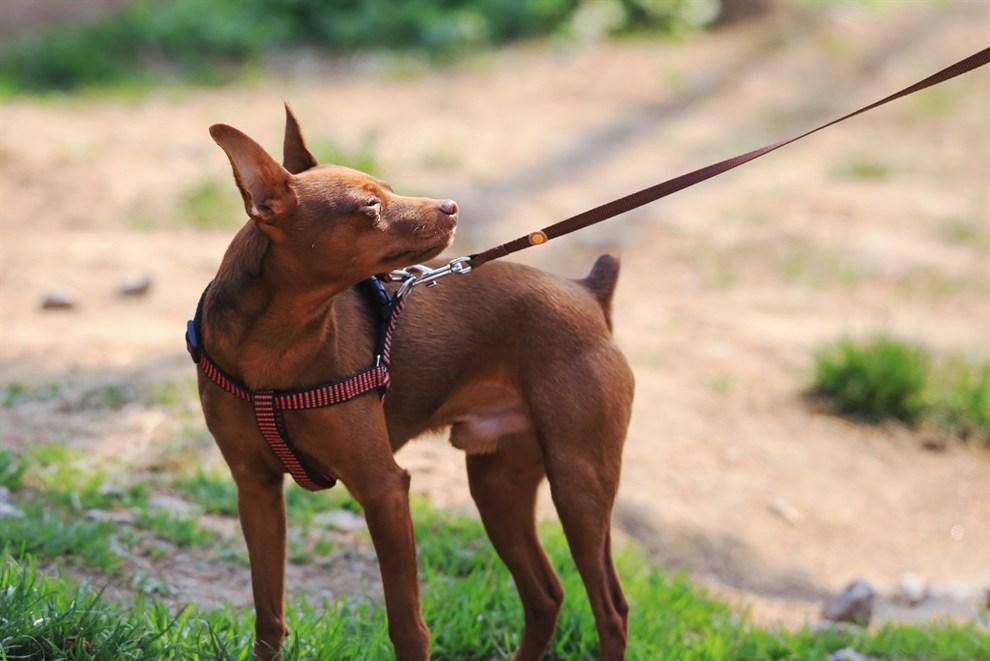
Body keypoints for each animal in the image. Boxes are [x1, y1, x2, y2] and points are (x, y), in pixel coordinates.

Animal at [198, 105, 636, 656]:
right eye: (369, 205)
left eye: (388, 188)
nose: (451, 205)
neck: (272, 349)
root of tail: (588, 292)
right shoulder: (255, 487)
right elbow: (267, 612)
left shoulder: (384, 489)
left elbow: (407, 623)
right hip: (498, 485)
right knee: (546, 595)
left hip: (579, 484)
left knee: (611, 610)